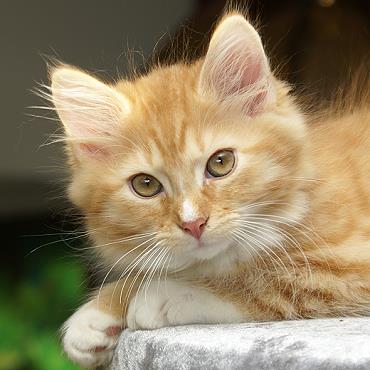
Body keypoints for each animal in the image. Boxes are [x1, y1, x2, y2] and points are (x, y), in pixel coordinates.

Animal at [48, 13, 370, 368]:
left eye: (221, 163)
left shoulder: (350, 264)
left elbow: (262, 280)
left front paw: (165, 293)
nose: (194, 223)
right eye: (145, 185)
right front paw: (97, 313)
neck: (300, 197)